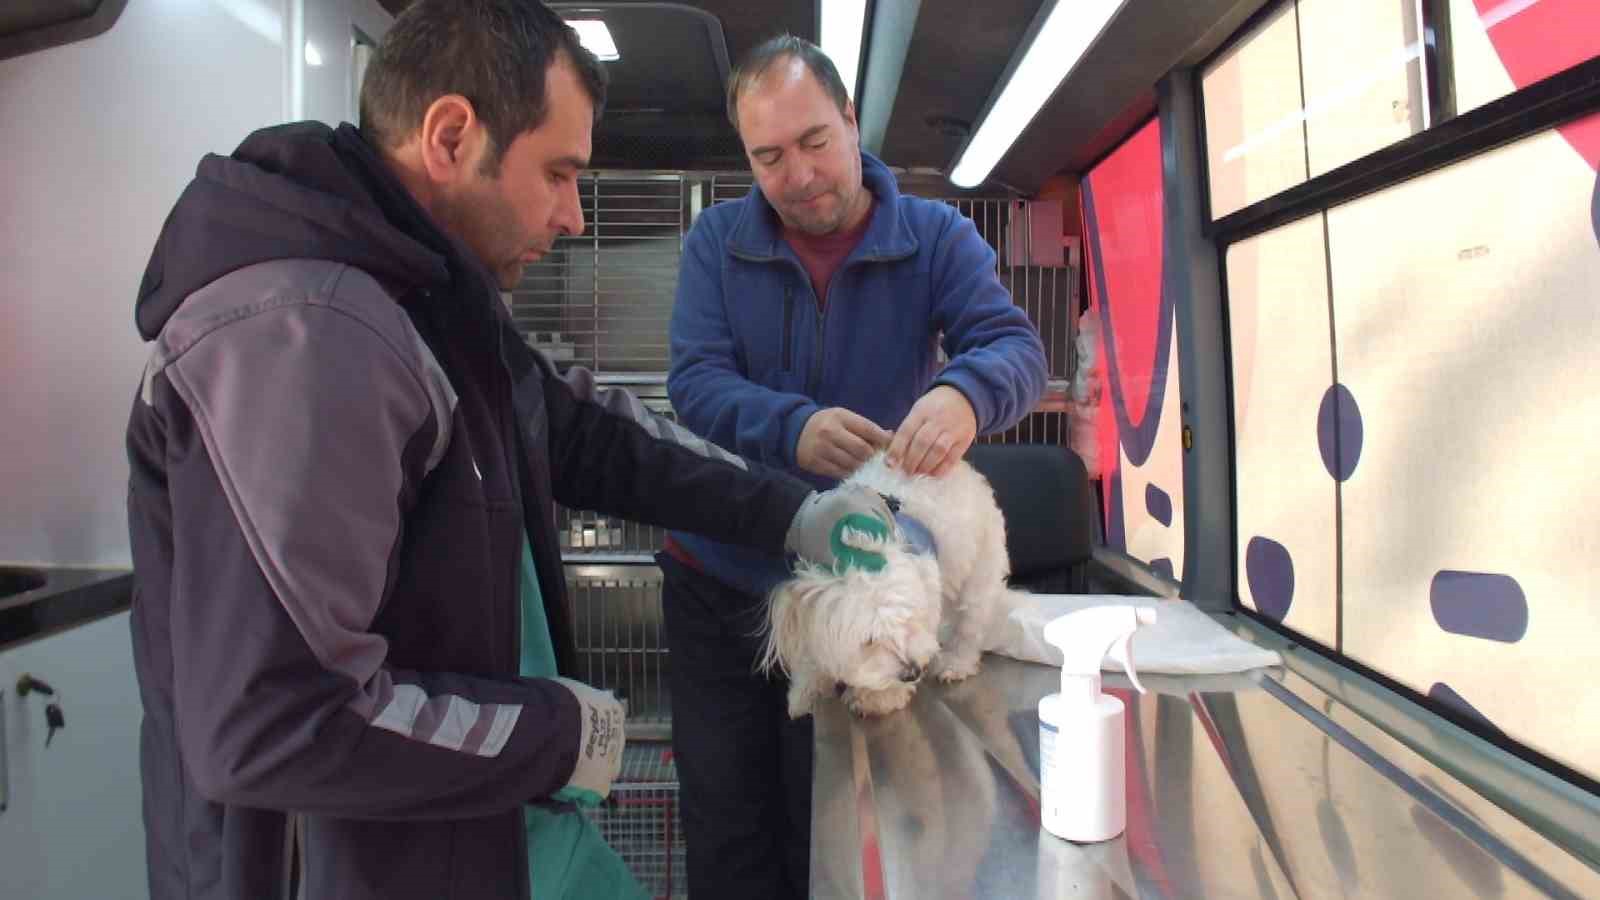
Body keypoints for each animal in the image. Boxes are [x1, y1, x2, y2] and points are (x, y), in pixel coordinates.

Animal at [758, 451, 1011, 717]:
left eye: (910, 620)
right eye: (869, 640)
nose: (911, 672)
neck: (858, 547)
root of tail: (967, 472)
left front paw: (878, 697)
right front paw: (808, 689)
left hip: (980, 571)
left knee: (970, 624)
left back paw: (956, 662)